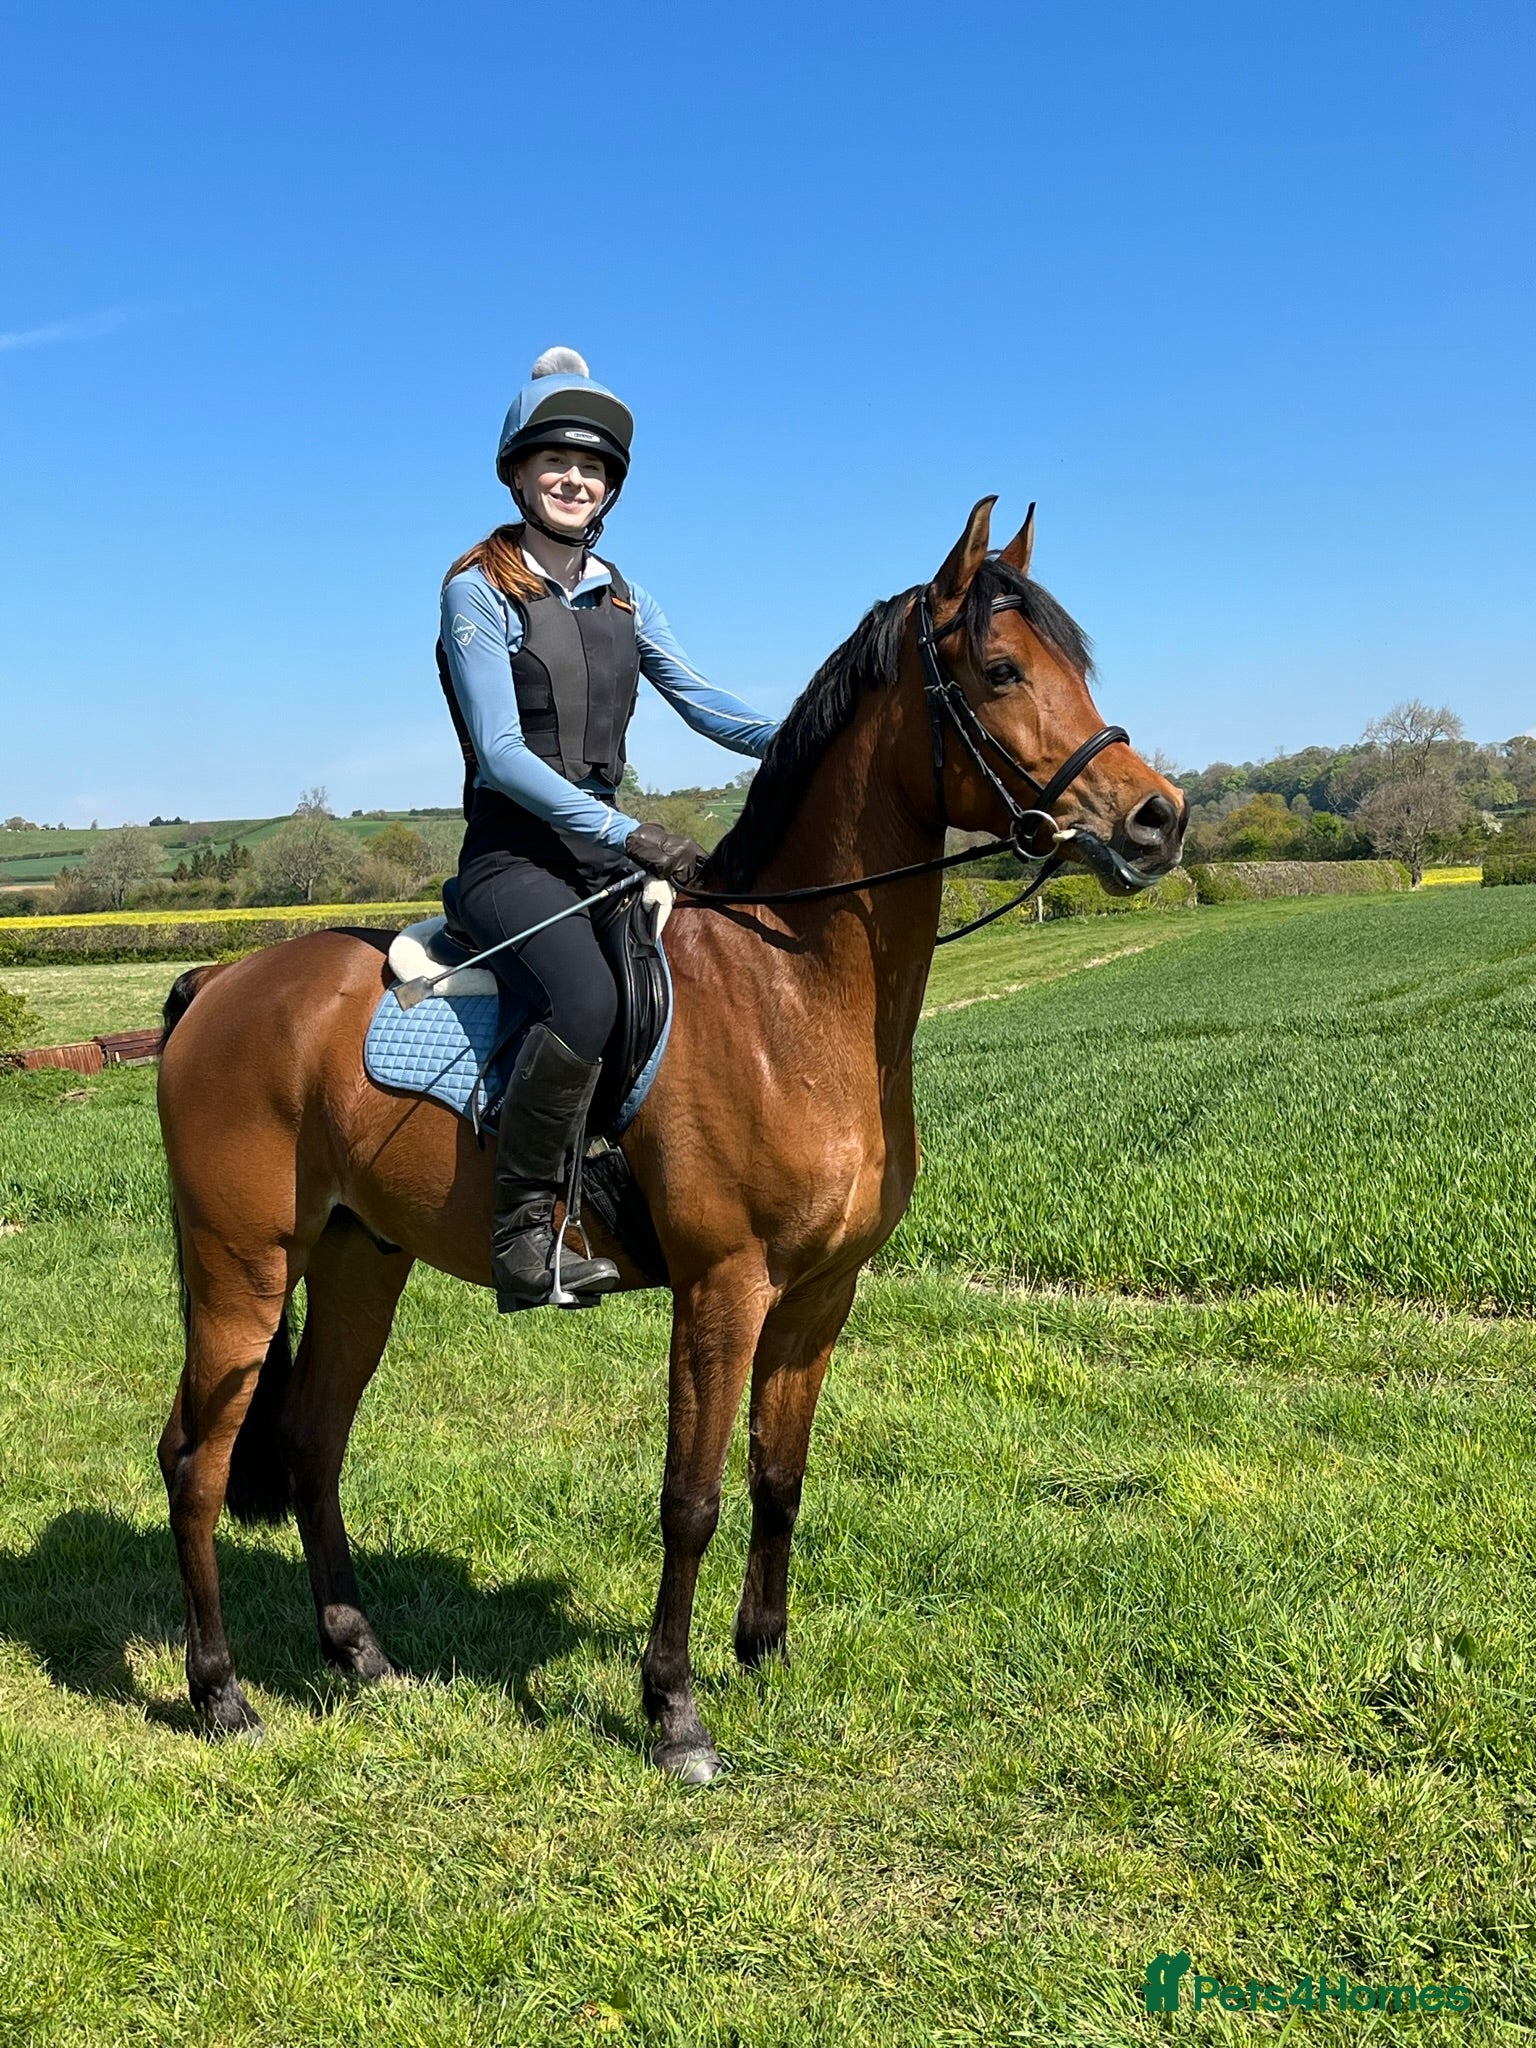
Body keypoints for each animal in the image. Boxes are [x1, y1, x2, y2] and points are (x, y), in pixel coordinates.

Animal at [155, 497, 1186, 1782]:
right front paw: (674, 1709)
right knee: (197, 1461)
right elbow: (689, 1498)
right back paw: (219, 1692)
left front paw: (767, 1653)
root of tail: (220, 983)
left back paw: (360, 1655)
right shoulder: (724, 1285)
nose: (1158, 819)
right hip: (239, 1269)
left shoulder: (820, 1292)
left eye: (1077, 665)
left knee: (310, 1441)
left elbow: (780, 1474)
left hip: (357, 1260)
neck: (793, 988)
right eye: (1001, 670)